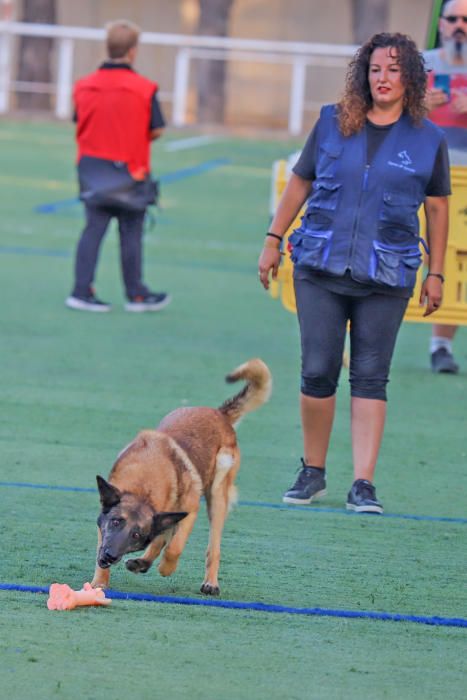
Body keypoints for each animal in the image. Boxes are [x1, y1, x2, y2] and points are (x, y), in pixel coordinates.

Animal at [91, 360, 272, 596]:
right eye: (115, 521)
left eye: (136, 535)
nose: (110, 556)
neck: (144, 485)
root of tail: (219, 414)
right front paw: (99, 582)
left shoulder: (190, 510)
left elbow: (174, 548)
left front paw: (166, 568)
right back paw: (142, 562)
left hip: (217, 497)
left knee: (213, 547)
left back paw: (210, 582)